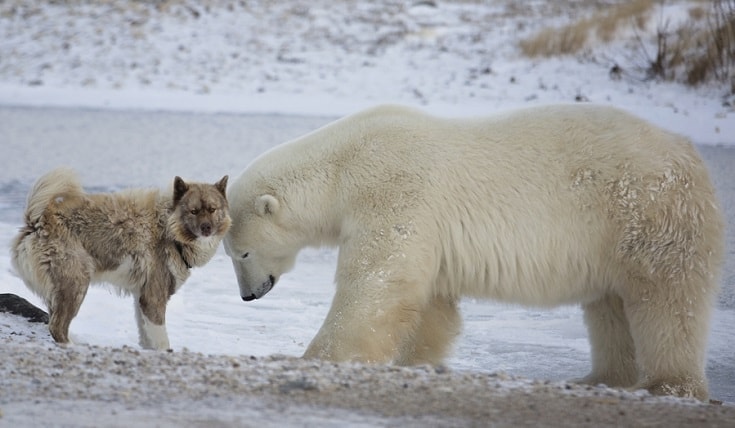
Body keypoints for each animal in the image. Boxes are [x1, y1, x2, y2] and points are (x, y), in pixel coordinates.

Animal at [224, 103, 724, 402]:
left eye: (241, 254)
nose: (248, 296)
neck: (344, 165)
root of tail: (691, 154)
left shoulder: (395, 190)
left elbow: (376, 283)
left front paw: (317, 357)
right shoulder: (427, 229)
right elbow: (431, 304)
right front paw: (416, 361)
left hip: (645, 213)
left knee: (665, 300)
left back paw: (667, 384)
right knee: (610, 308)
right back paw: (599, 377)